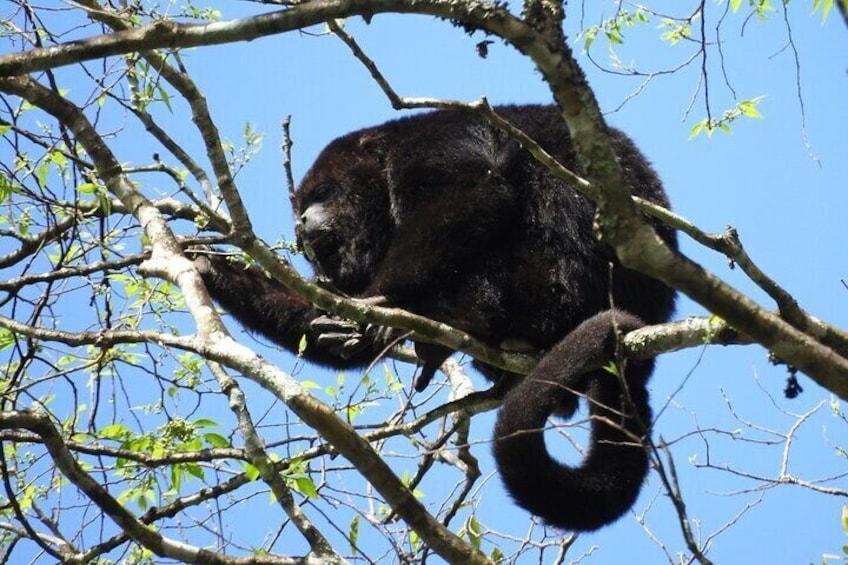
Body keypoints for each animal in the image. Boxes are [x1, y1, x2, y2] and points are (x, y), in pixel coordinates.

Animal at [195, 103, 680, 532]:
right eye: (302, 207)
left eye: (324, 194)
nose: (302, 225)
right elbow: (331, 325)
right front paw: (207, 265)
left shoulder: (432, 142)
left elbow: (472, 192)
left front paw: (383, 303)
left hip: (551, 284)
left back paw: (465, 321)